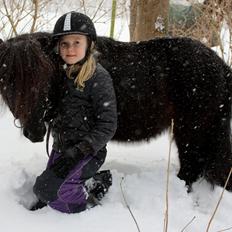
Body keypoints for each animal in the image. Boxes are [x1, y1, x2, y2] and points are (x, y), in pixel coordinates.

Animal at [0, 33, 232, 192]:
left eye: (44, 79)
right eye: (8, 82)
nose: (35, 132)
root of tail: (221, 67)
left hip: (190, 132)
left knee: (190, 168)